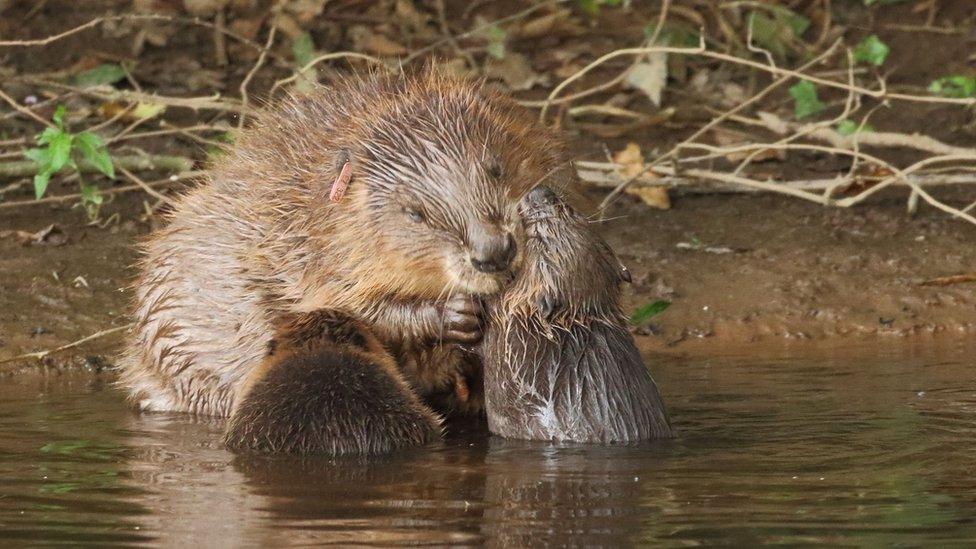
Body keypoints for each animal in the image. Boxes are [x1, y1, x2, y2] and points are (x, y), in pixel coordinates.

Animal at [120, 69, 564, 454]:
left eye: (495, 168)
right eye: (414, 213)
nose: (494, 252)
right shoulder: (310, 249)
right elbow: (354, 308)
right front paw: (456, 315)